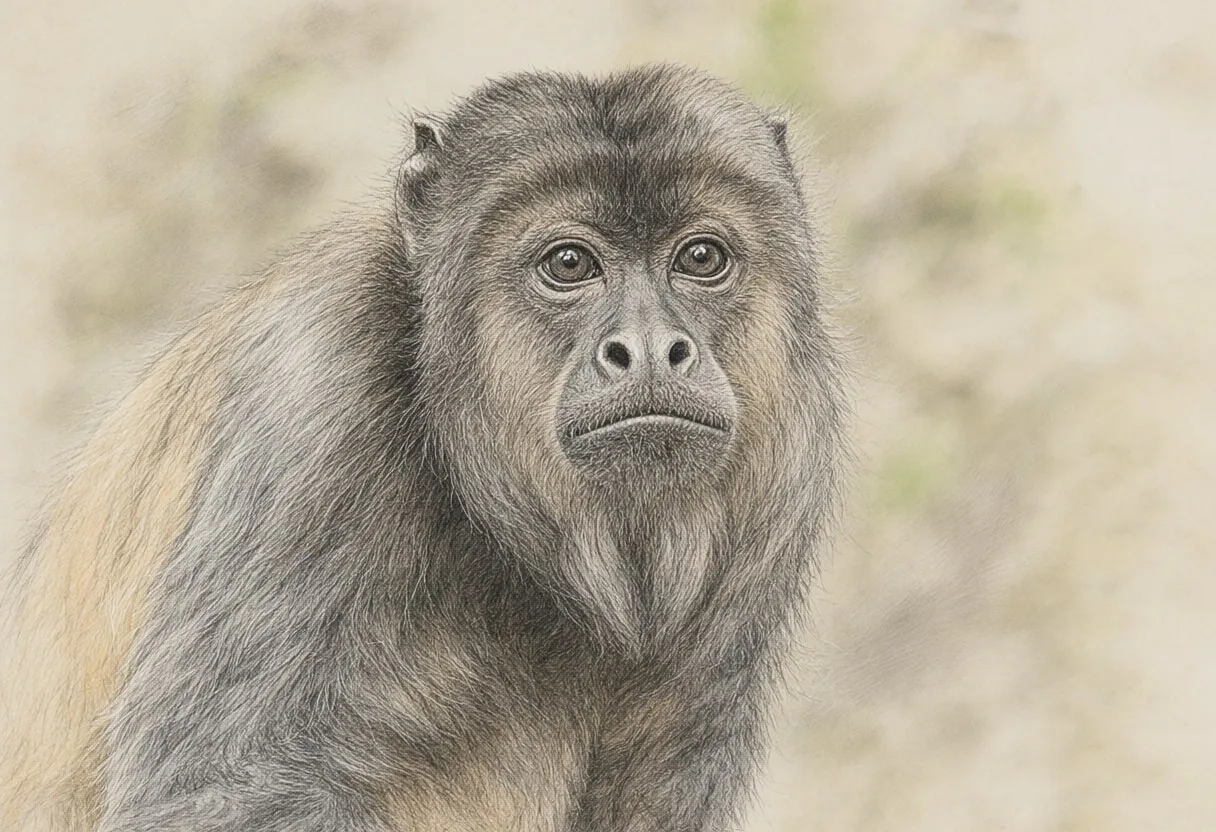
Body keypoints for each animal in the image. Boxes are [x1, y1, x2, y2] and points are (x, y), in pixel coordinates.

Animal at [0, 64, 844, 832]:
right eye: (569, 264)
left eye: (701, 259)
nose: (649, 349)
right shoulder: (315, 397)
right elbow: (214, 792)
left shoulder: (786, 473)